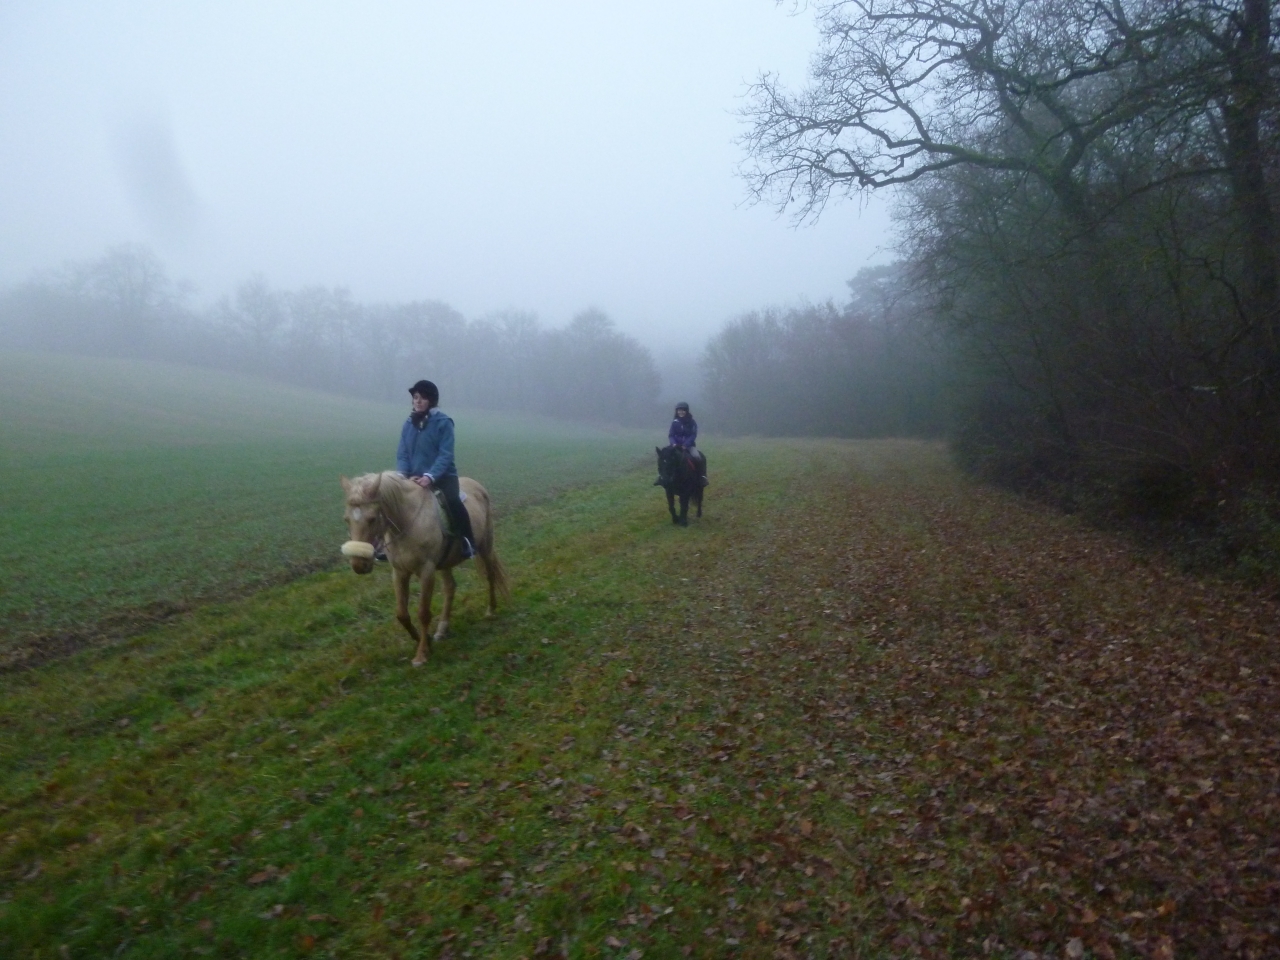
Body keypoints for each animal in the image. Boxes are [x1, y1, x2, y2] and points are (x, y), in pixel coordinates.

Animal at [339, 471, 508, 665]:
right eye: (346, 519)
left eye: (372, 518)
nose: (359, 565)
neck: (406, 523)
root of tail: (477, 485)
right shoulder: (399, 573)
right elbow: (402, 614)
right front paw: (423, 639)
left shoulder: (427, 571)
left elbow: (423, 613)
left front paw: (422, 653)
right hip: (445, 562)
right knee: (450, 588)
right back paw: (442, 629)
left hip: (485, 545)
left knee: (490, 575)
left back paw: (490, 610)